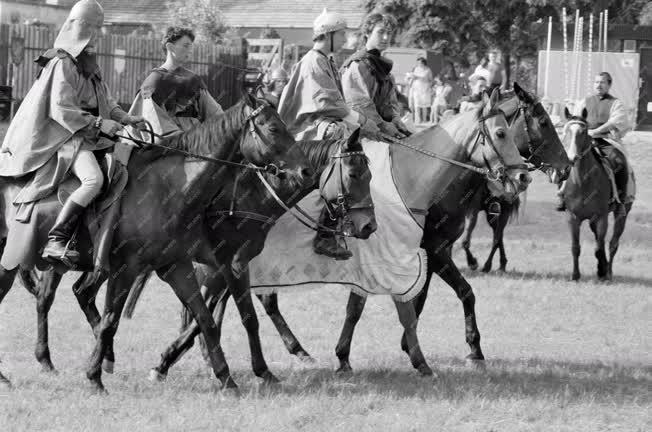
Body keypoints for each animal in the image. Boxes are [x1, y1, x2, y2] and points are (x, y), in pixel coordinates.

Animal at [0, 94, 316, 392]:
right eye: (273, 128)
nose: (305, 171)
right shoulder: (130, 269)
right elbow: (110, 322)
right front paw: (94, 378)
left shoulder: (178, 267)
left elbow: (206, 320)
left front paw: (226, 379)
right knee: (56, 298)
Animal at [560, 107, 632, 280]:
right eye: (566, 131)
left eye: (583, 131)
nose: (571, 158)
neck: (583, 182)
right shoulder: (572, 218)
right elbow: (576, 247)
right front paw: (575, 275)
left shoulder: (601, 217)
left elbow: (599, 248)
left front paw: (602, 271)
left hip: (622, 214)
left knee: (613, 244)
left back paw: (609, 272)